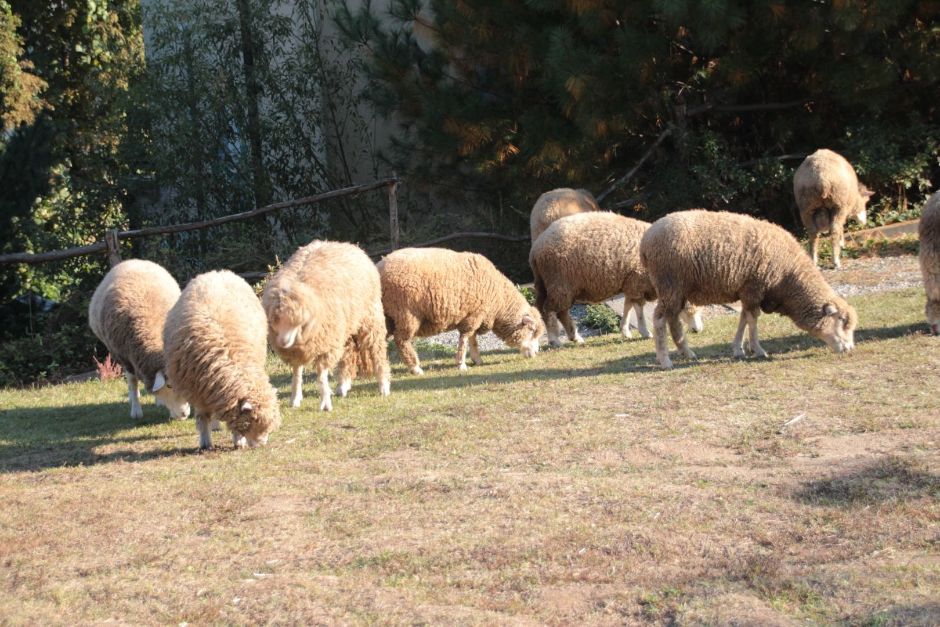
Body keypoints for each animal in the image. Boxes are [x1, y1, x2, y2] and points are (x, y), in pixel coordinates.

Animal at [87, 260, 190, 422]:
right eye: (169, 386)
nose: (184, 414)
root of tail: (131, 261)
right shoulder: (125, 357)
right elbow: (132, 382)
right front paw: (136, 410)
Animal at [260, 240, 390, 412]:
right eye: (275, 319)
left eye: (297, 321)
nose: (283, 342)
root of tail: (349, 245)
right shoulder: (298, 350)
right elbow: (297, 373)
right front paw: (295, 398)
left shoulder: (325, 344)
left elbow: (322, 376)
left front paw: (325, 402)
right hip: (345, 326)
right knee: (348, 353)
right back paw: (343, 385)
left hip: (370, 319)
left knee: (377, 350)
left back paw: (383, 385)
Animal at [378, 247, 548, 376]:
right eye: (532, 330)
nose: (536, 353)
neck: (499, 301)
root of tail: (380, 267)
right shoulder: (472, 316)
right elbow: (465, 339)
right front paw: (461, 364)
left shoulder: (476, 315)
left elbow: (473, 340)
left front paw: (477, 360)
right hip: (406, 314)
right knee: (401, 340)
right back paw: (415, 368)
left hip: (387, 316)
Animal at [524, 213, 700, 346]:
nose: (698, 330)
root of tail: (535, 249)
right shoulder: (638, 280)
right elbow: (638, 309)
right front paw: (645, 332)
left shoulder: (631, 283)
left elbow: (628, 307)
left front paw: (626, 331)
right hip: (559, 284)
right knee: (549, 310)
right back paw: (555, 340)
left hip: (546, 285)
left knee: (550, 310)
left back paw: (574, 337)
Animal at [640, 210, 860, 368]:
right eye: (842, 321)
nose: (850, 348)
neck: (789, 277)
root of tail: (646, 241)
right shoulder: (755, 287)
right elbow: (752, 320)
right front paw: (758, 350)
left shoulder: (748, 290)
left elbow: (743, 318)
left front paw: (738, 349)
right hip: (669, 284)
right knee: (659, 320)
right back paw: (665, 360)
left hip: (677, 289)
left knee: (673, 321)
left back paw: (686, 353)